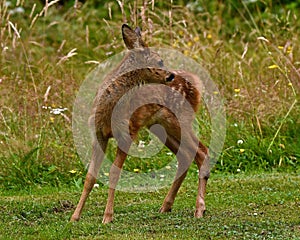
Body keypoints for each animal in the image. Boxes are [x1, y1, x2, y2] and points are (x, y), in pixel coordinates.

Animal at [71, 23, 210, 223]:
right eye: (160, 61)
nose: (170, 76)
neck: (109, 109)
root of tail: (196, 83)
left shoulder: (126, 132)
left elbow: (114, 173)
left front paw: (108, 217)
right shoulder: (98, 134)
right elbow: (90, 176)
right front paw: (75, 216)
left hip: (180, 119)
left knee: (202, 151)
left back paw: (199, 209)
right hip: (160, 127)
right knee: (185, 155)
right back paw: (166, 206)